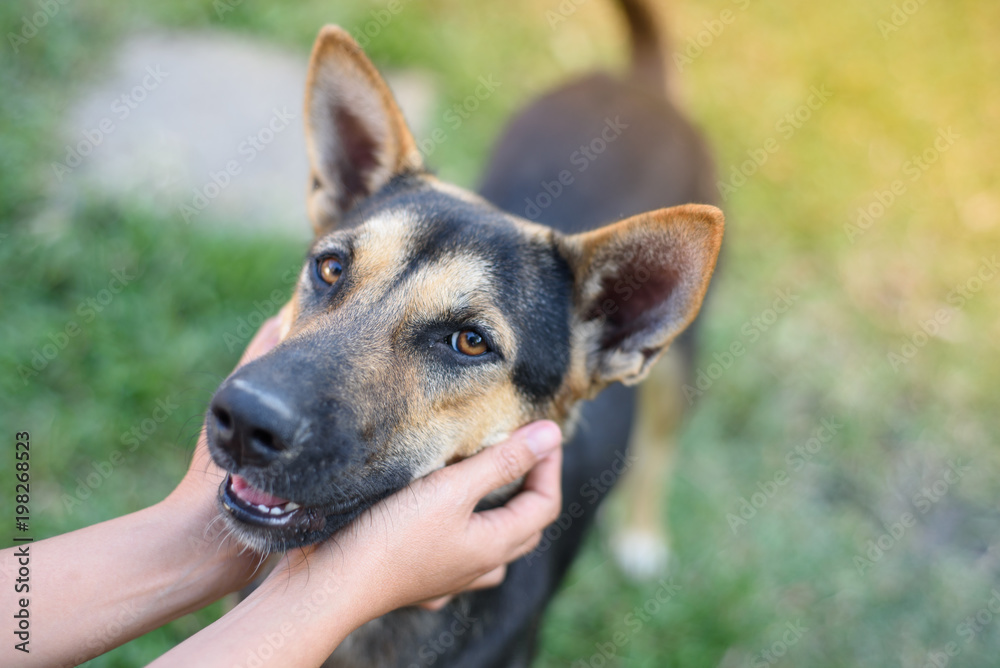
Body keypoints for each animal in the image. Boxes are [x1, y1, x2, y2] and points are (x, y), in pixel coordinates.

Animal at [205, 2, 720, 664]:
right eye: (331, 267)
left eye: (470, 341)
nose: (243, 419)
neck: (368, 627)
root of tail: (637, 86)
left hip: (679, 367)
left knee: (660, 441)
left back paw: (642, 534)